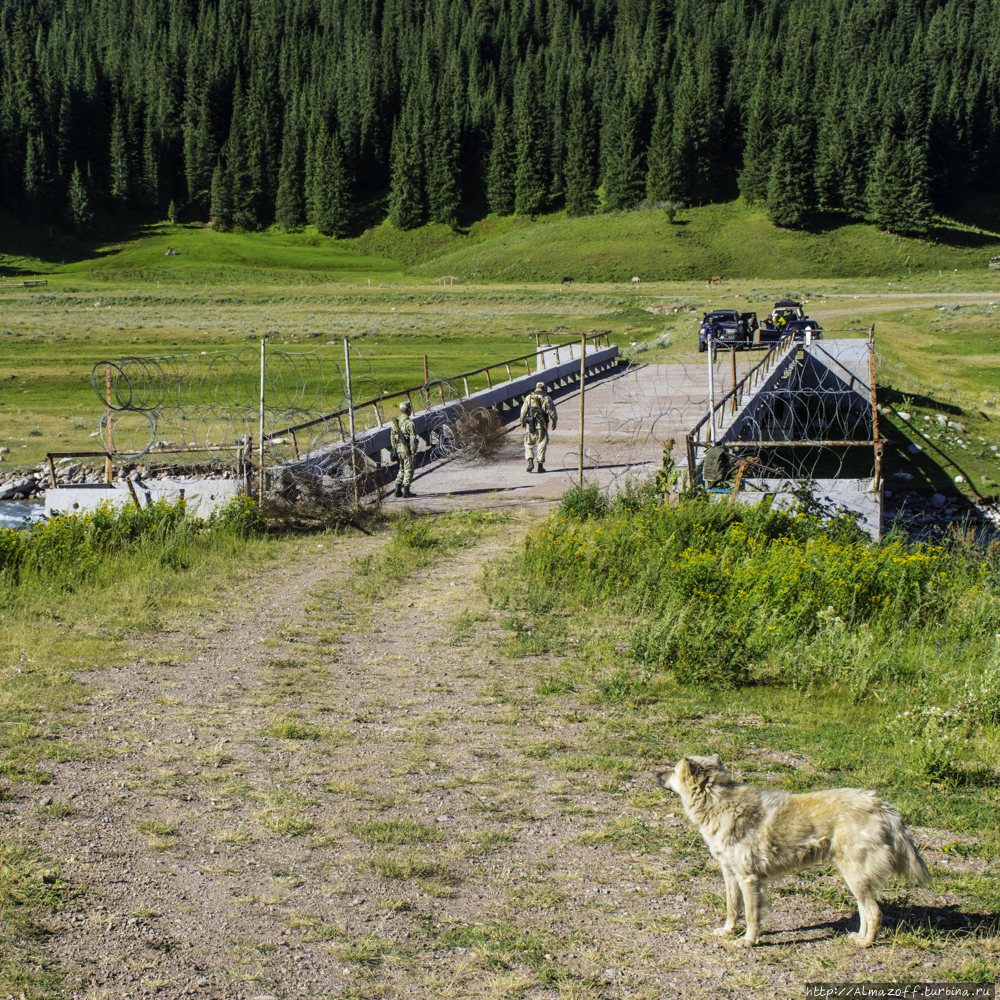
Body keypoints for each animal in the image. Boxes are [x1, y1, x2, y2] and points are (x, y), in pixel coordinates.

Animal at [656, 756, 928, 944]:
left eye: (673, 770)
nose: (656, 774)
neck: (719, 804)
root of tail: (878, 803)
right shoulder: (730, 874)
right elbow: (732, 908)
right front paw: (727, 931)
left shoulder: (749, 879)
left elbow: (752, 916)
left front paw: (748, 941)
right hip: (855, 879)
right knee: (866, 911)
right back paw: (858, 937)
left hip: (855, 876)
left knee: (874, 912)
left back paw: (865, 943)